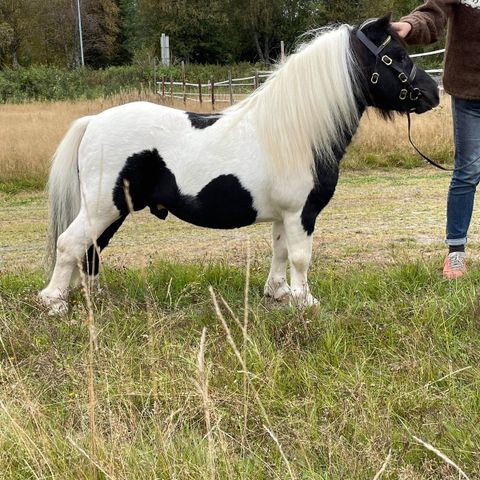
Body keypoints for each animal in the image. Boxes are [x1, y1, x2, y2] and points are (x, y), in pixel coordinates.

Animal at [40, 16, 438, 314]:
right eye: (396, 56)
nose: (433, 94)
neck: (296, 131)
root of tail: (93, 121)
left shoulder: (283, 215)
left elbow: (280, 251)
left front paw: (278, 293)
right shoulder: (301, 212)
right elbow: (300, 257)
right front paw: (306, 301)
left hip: (113, 209)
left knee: (91, 250)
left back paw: (91, 298)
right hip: (102, 207)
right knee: (70, 244)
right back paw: (55, 302)